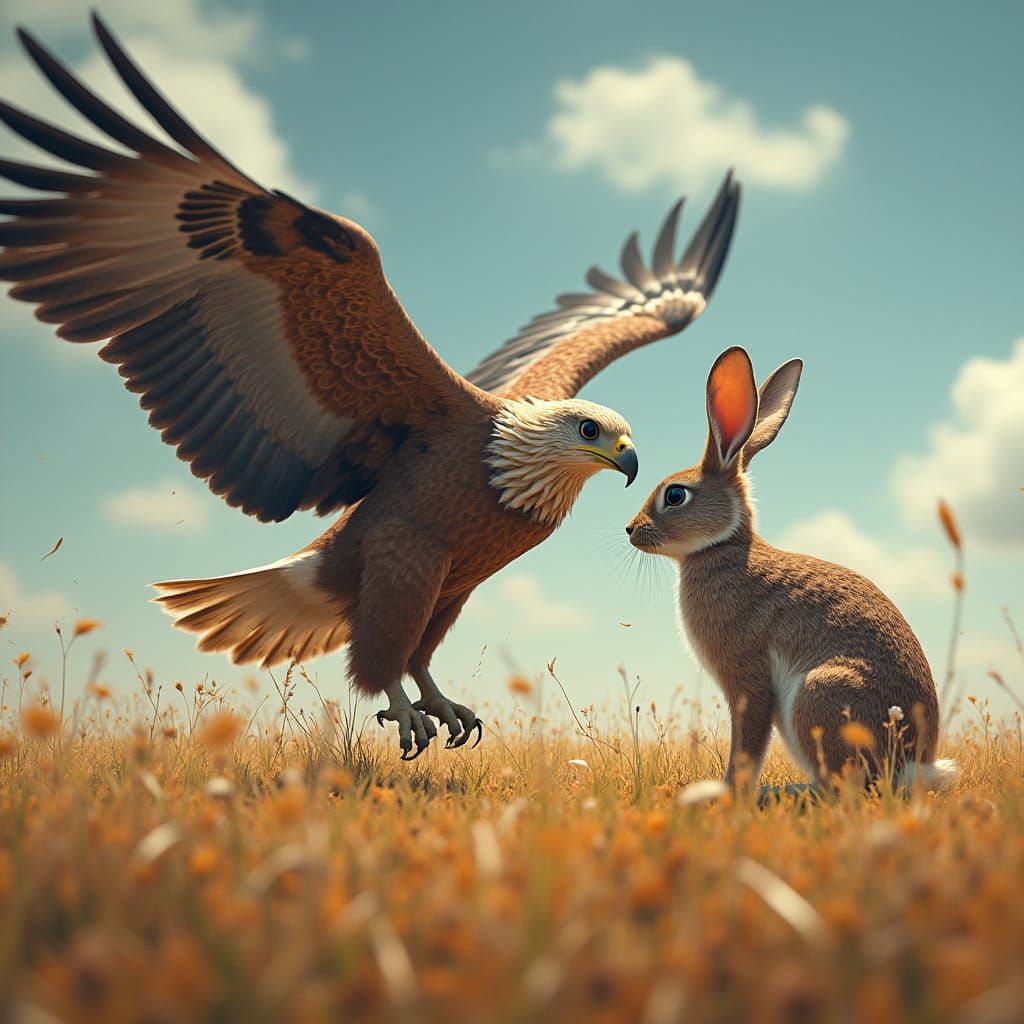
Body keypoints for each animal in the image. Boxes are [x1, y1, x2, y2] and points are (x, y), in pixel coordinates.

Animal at [626, 346, 956, 792]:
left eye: (675, 495)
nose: (631, 530)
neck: (722, 546)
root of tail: (910, 765)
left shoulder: (747, 675)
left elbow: (747, 743)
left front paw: (728, 792)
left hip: (820, 693)